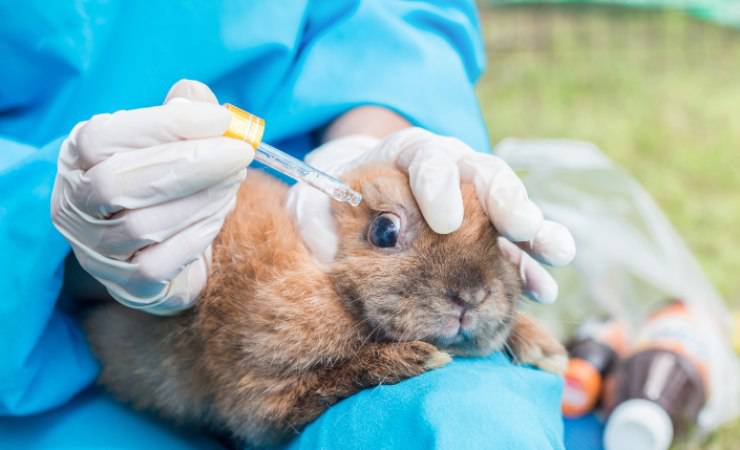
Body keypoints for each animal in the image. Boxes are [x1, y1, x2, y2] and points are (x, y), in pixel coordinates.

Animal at [84, 163, 568, 446]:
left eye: (499, 238)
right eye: (385, 232)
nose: (471, 296)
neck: (333, 285)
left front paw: (545, 350)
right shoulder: (260, 394)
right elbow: (322, 385)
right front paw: (414, 359)